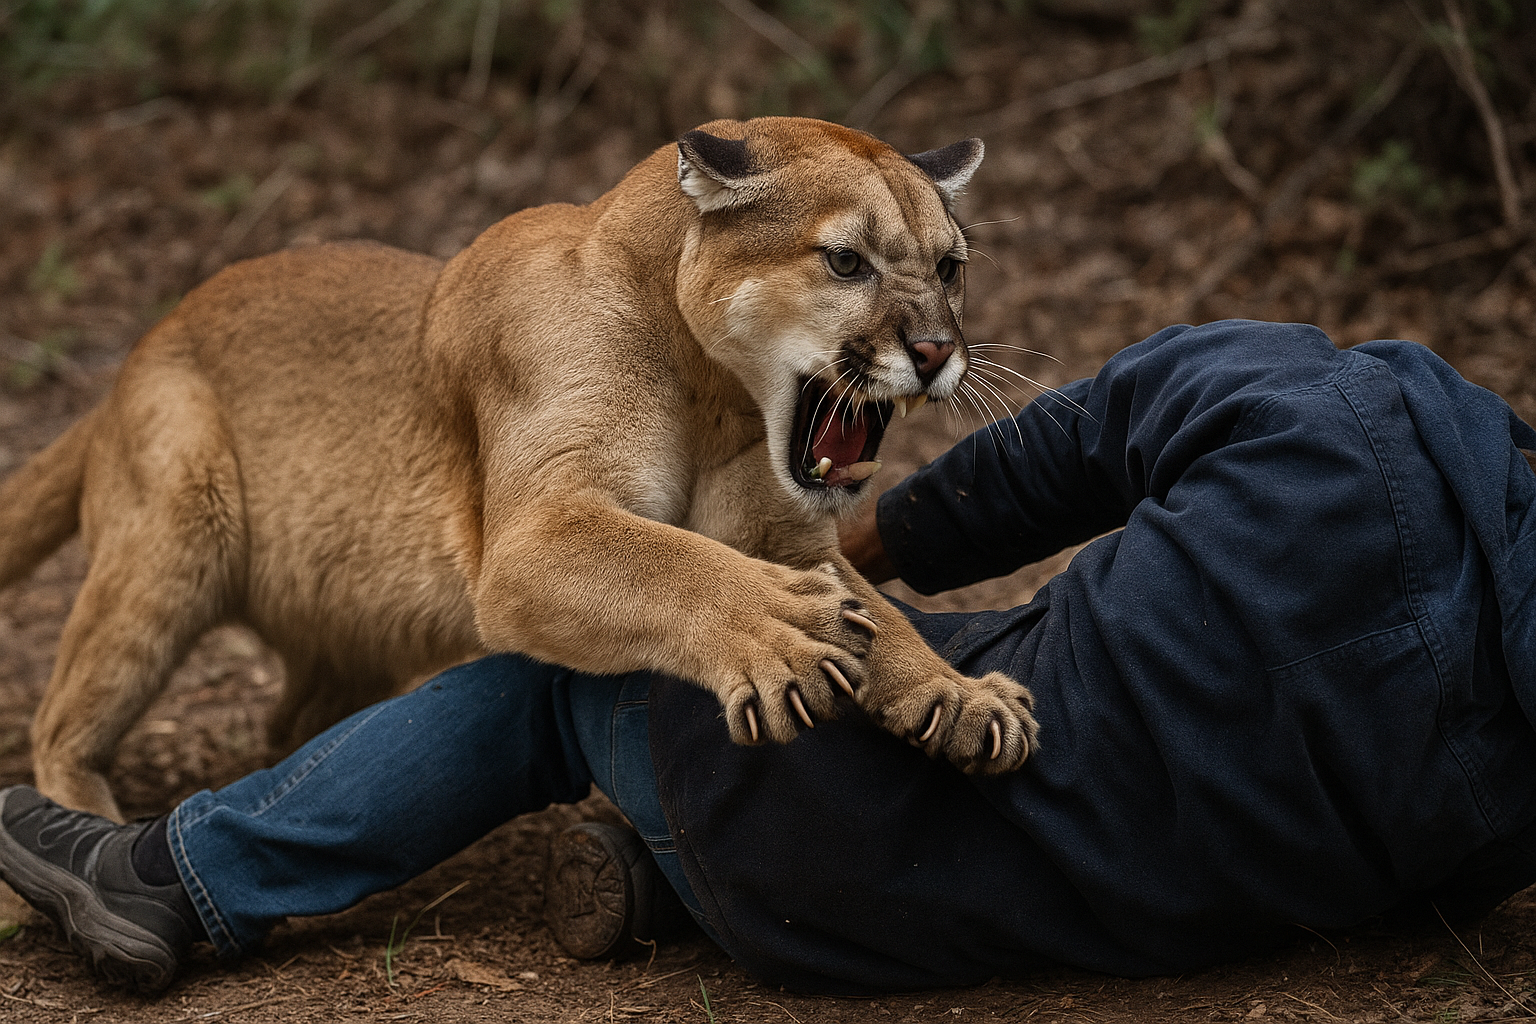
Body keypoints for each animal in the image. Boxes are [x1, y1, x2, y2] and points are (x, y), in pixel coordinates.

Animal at [0, 116, 1037, 824]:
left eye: (950, 266)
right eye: (846, 261)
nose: (939, 352)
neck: (716, 394)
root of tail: (137, 352)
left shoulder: (782, 528)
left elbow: (879, 606)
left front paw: (956, 693)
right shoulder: (538, 532)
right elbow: (668, 561)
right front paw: (783, 630)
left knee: (292, 721)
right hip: (176, 527)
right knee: (57, 722)